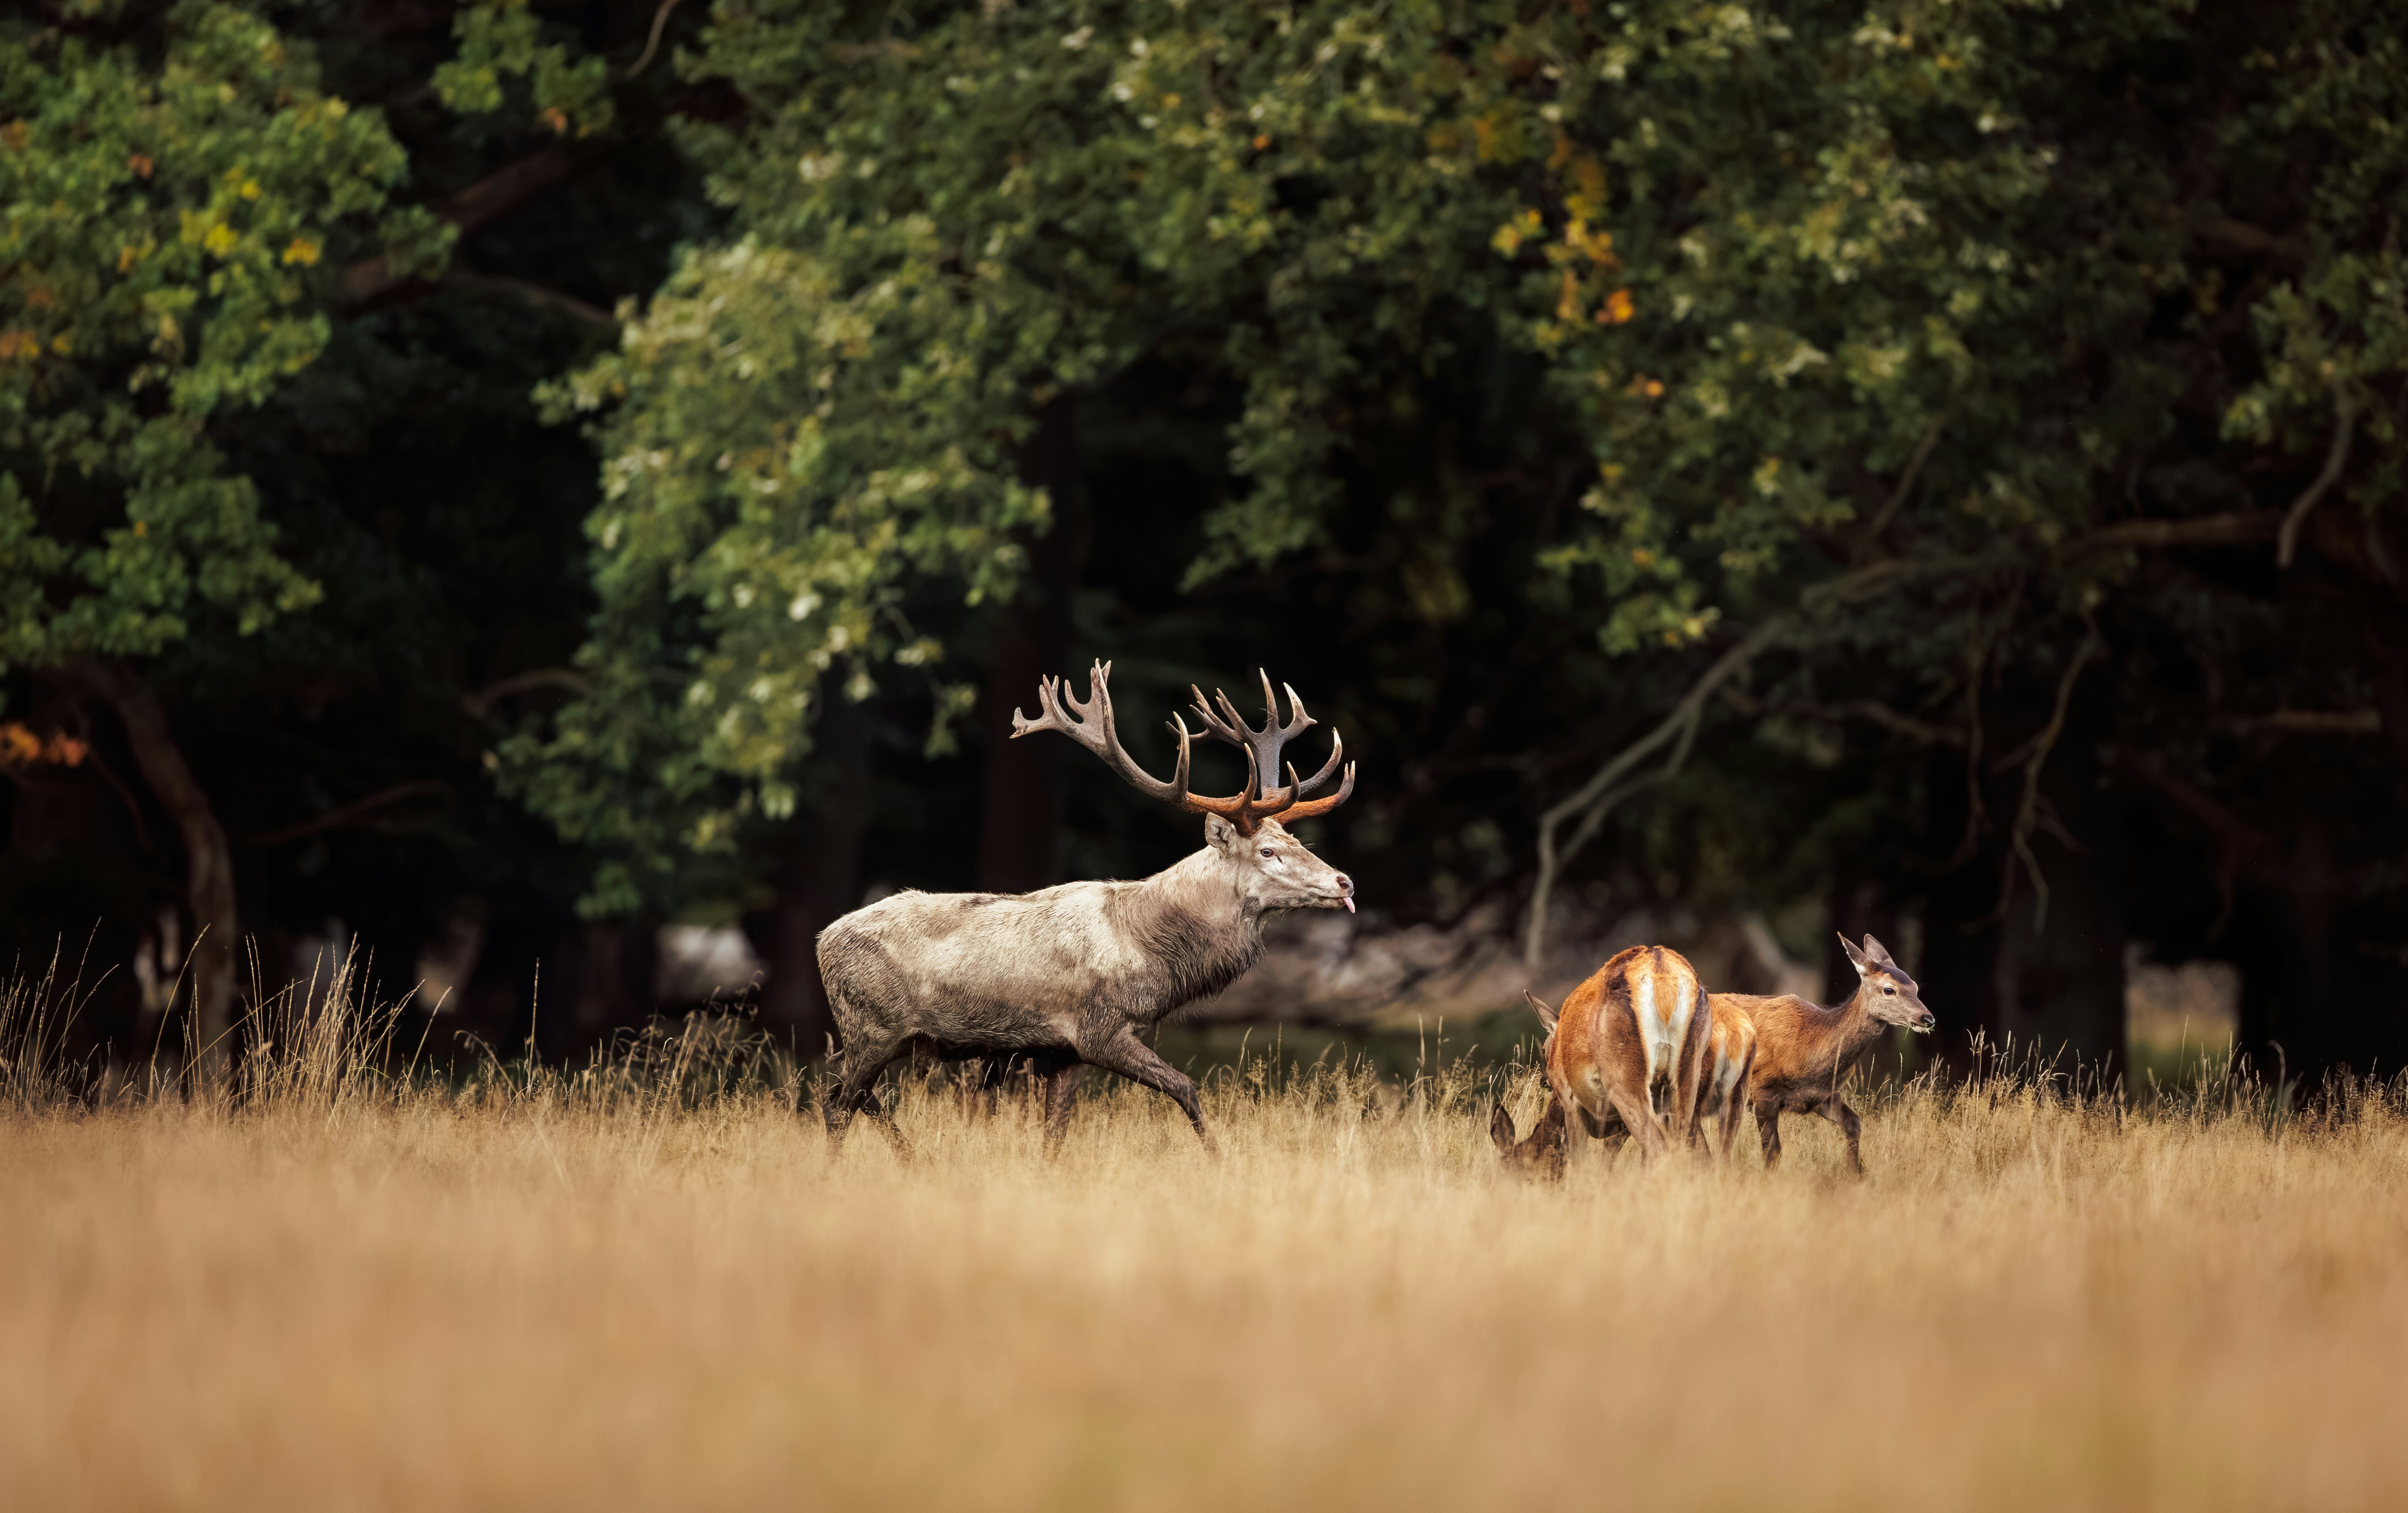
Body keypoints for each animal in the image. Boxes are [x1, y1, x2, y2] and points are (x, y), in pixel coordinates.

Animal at [814, 660, 1356, 1158]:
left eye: (1297, 841)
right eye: (1267, 851)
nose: (1344, 881)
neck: (1153, 954)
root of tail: (821, 942)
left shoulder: (1065, 1050)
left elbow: (1054, 1133)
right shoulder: (1099, 1028)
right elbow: (1187, 1088)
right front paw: (1219, 1159)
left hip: (889, 1036)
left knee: (854, 1095)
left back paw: (912, 1159)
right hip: (870, 1024)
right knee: (837, 1103)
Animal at [1716, 933, 1933, 1176]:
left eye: (1915, 987)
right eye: (1889, 989)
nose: (1928, 1018)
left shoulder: (1824, 1096)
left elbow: (1854, 1124)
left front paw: (1855, 1175)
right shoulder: (1763, 1090)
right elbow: (1773, 1150)